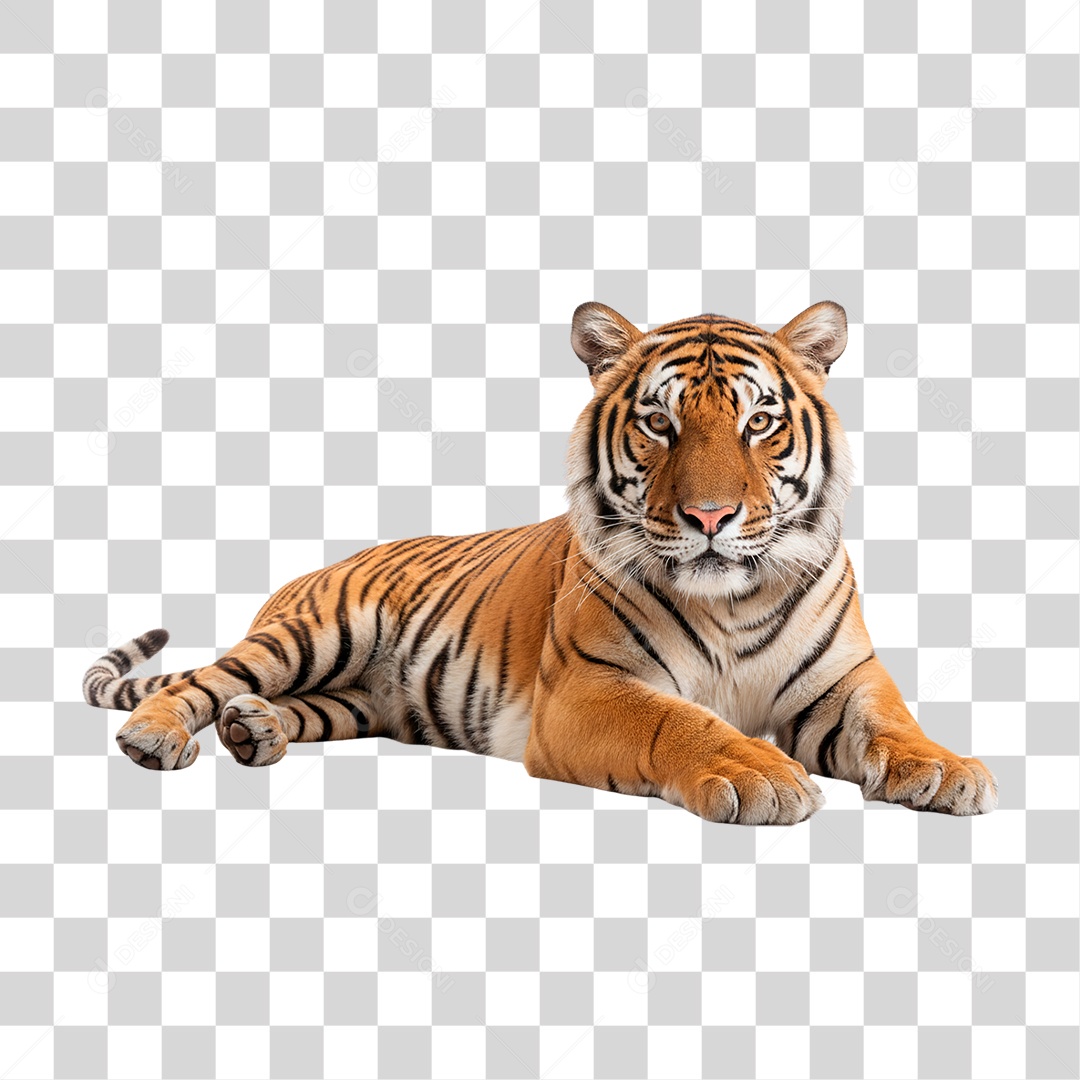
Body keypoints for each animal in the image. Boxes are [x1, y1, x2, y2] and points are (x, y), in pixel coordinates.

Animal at [83, 300, 997, 825]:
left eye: (759, 423)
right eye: (660, 424)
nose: (709, 517)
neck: (730, 601)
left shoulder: (844, 681)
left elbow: (893, 723)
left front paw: (946, 770)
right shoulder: (587, 688)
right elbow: (681, 721)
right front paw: (759, 772)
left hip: (356, 700)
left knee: (277, 705)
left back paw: (255, 730)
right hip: (312, 635)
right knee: (205, 681)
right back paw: (155, 738)